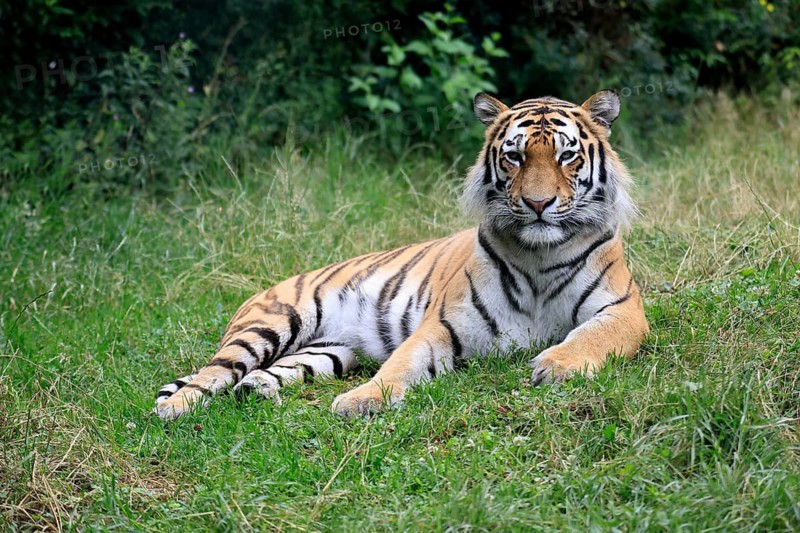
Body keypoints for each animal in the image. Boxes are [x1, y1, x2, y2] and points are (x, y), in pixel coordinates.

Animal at [155, 90, 649, 420]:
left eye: (566, 156)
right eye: (515, 157)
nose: (538, 203)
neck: (540, 255)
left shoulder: (624, 310)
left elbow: (591, 336)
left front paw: (557, 366)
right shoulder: (445, 323)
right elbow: (404, 361)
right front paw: (362, 400)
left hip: (329, 352)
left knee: (265, 372)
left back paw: (257, 391)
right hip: (269, 324)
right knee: (213, 372)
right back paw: (175, 408)